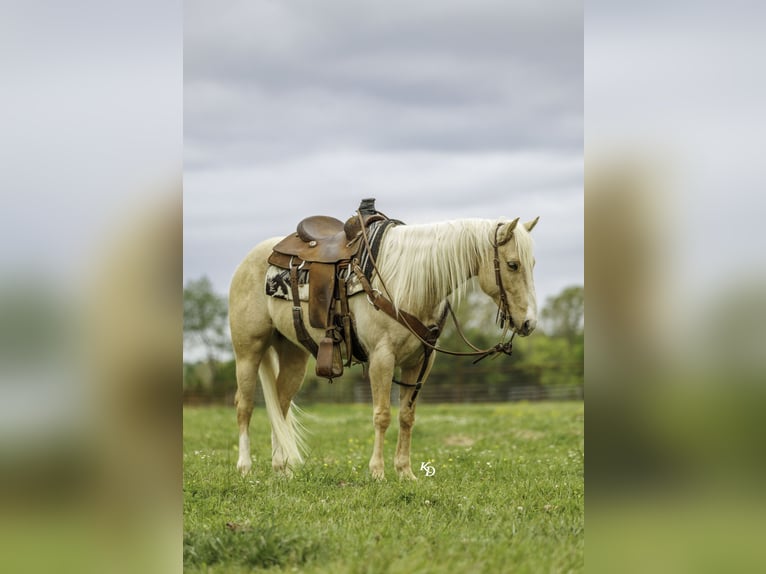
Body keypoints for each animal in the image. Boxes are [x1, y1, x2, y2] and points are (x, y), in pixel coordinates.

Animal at [229, 213, 539, 480]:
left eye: (533, 264)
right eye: (513, 264)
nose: (529, 323)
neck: (409, 282)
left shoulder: (419, 363)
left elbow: (406, 417)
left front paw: (405, 472)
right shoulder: (382, 357)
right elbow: (382, 415)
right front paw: (377, 472)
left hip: (294, 354)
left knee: (279, 405)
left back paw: (281, 468)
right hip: (248, 351)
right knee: (245, 405)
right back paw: (245, 467)